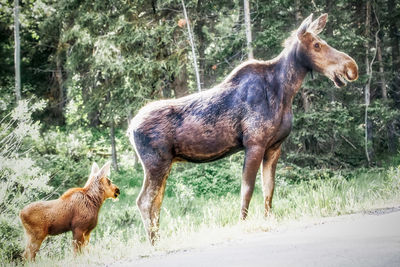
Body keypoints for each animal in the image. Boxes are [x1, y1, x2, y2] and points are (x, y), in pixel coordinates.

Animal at [129, 14, 360, 245]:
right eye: (317, 45)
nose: (351, 67)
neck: (285, 93)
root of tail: (130, 129)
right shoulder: (254, 143)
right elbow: (247, 190)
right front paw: (243, 225)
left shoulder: (274, 147)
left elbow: (269, 189)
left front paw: (268, 219)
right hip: (156, 164)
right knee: (144, 201)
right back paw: (153, 243)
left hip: (164, 165)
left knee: (156, 201)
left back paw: (158, 239)